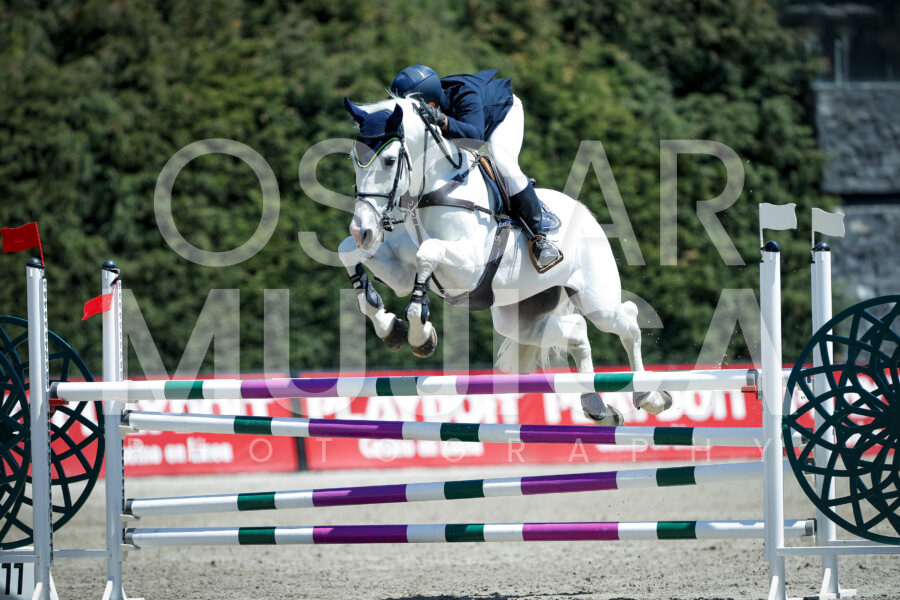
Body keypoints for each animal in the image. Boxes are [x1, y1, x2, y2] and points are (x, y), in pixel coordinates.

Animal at [336, 96, 672, 424]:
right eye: (353, 159)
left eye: (390, 160)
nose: (363, 230)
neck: (430, 192)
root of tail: (587, 214)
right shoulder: (402, 276)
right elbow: (347, 251)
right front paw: (390, 327)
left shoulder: (468, 267)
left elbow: (427, 252)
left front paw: (420, 334)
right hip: (518, 317)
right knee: (577, 331)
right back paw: (596, 404)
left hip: (596, 300)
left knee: (627, 322)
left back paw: (650, 397)